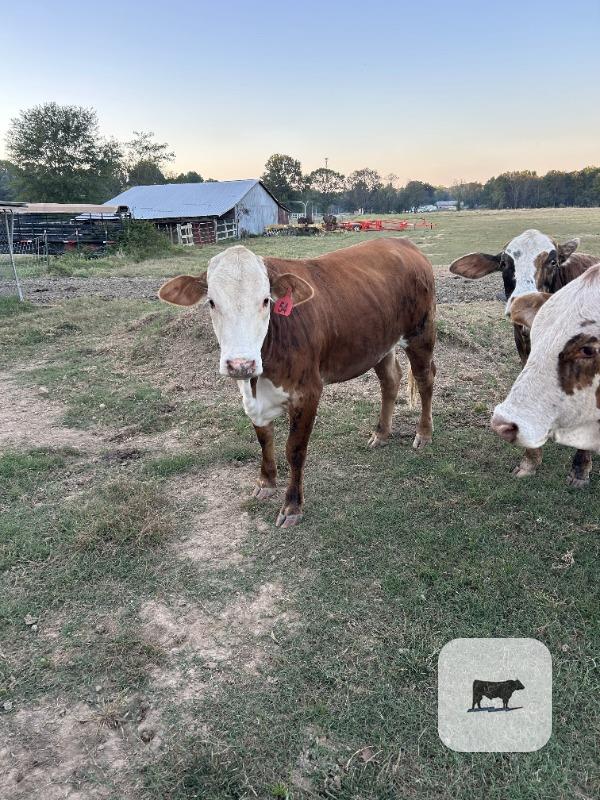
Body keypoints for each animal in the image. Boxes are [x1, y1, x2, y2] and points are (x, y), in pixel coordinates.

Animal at [158, 239, 436, 527]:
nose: (241, 364)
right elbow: (264, 438)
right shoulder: (251, 397)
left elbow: (295, 450)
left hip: (421, 333)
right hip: (378, 344)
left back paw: (424, 433)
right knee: (390, 380)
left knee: (425, 380)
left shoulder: (308, 392)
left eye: (266, 300)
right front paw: (266, 482)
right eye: (212, 302)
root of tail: (401, 242)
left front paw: (292, 506)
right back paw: (381, 434)